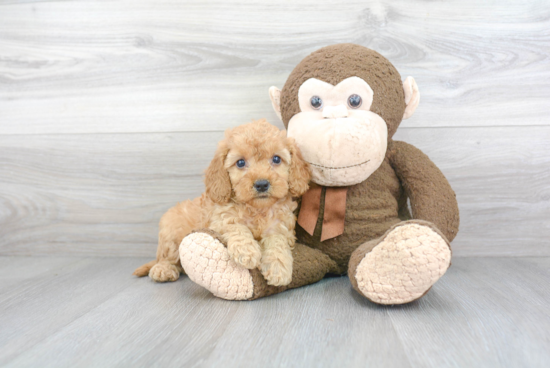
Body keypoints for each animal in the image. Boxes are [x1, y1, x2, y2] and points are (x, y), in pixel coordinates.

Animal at [134, 121, 312, 288]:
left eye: (276, 159)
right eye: (240, 163)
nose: (262, 184)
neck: (256, 209)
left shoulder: (281, 227)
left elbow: (277, 241)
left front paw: (278, 268)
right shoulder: (220, 220)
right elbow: (235, 227)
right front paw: (247, 251)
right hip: (171, 233)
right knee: (167, 258)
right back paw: (163, 270)